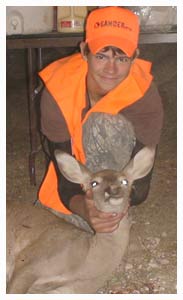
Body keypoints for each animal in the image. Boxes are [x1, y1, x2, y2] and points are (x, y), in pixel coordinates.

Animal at [6, 146, 155, 294]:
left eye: (124, 181)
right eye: (94, 183)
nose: (113, 190)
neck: (84, 263)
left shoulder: (72, 289)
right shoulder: (31, 261)